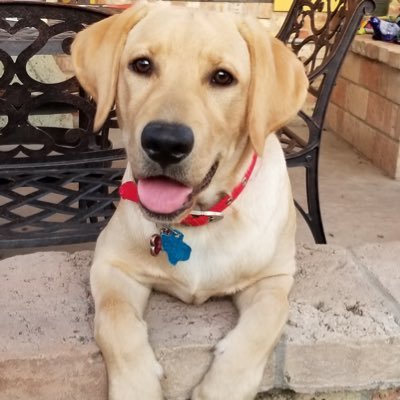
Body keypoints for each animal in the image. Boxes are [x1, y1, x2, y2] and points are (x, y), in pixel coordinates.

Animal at [72, 3, 308, 400]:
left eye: (223, 77)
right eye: (142, 65)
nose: (165, 143)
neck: (198, 219)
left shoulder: (274, 278)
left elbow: (261, 327)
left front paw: (221, 388)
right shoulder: (110, 263)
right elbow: (115, 321)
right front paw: (137, 386)